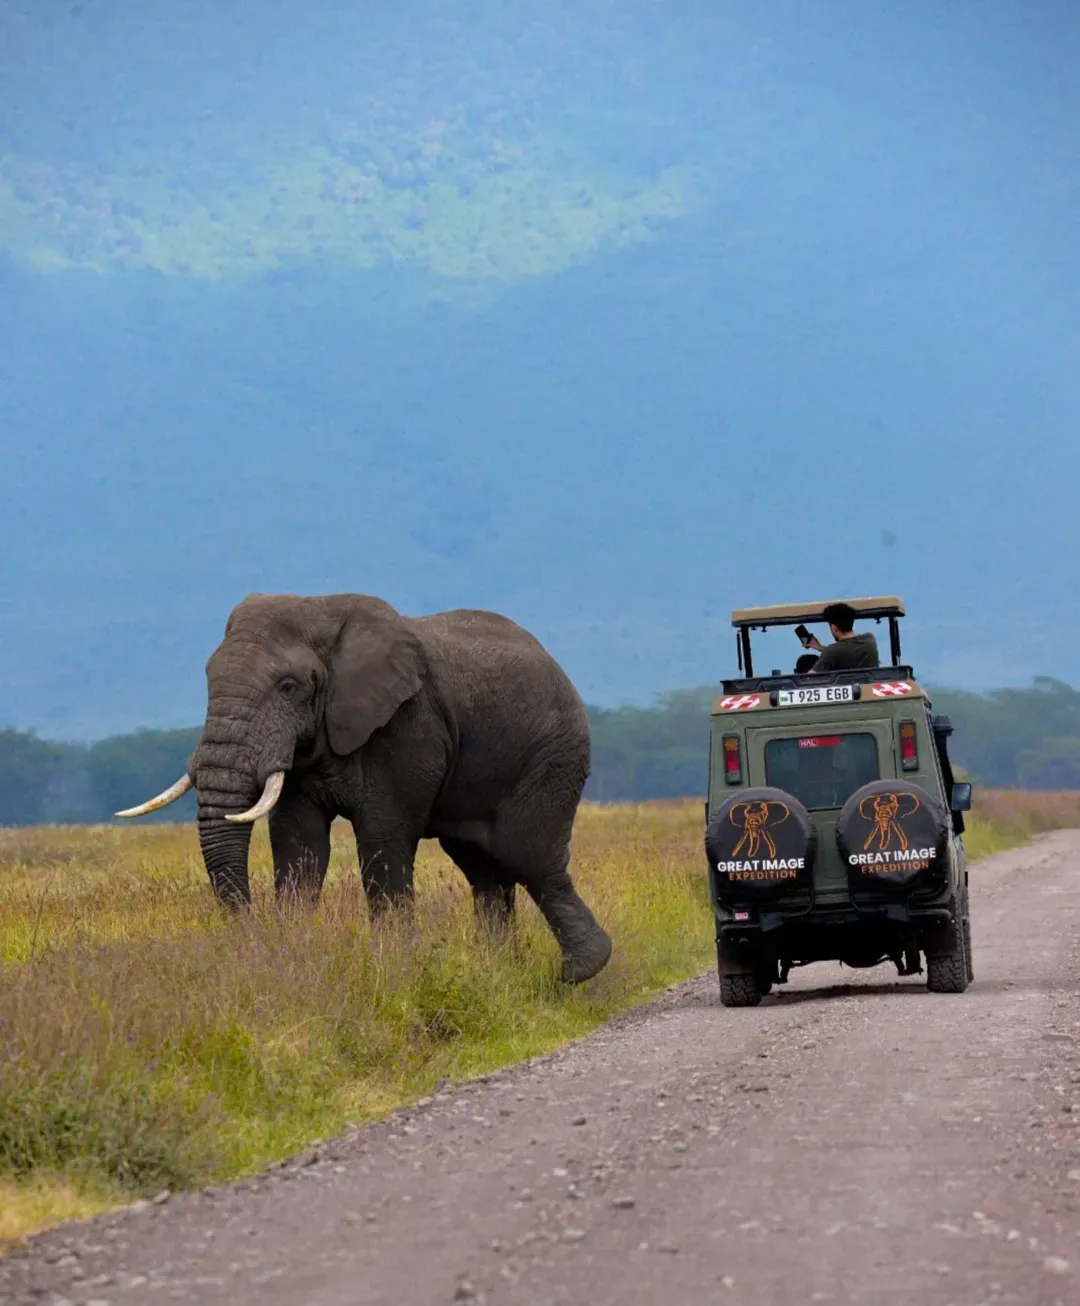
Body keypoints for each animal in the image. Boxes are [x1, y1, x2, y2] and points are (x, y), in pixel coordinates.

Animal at [117, 593, 613, 984]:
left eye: (288, 686)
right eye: (207, 678)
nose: (248, 938)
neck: (319, 614)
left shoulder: (408, 726)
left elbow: (382, 840)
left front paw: (397, 968)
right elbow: (299, 845)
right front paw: (297, 953)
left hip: (552, 755)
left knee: (526, 856)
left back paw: (577, 972)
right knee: (484, 870)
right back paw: (497, 970)